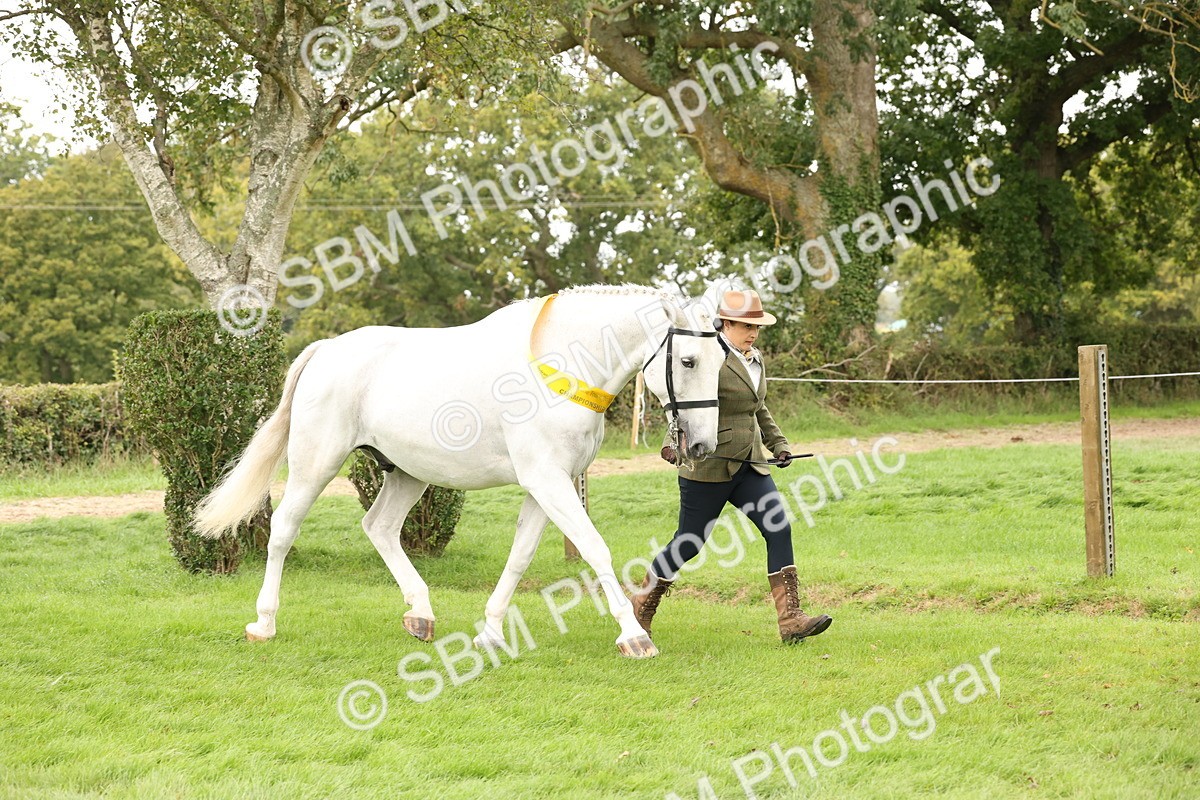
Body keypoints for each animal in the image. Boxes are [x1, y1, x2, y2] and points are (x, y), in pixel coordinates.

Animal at [194, 284, 725, 658]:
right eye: (687, 360)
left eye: (722, 359)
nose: (701, 445)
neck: (561, 368)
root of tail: (324, 350)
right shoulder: (548, 481)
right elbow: (595, 548)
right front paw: (634, 636)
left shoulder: (544, 485)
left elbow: (520, 556)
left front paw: (490, 632)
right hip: (315, 462)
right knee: (284, 529)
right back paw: (264, 623)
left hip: (406, 472)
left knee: (379, 527)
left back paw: (421, 615)